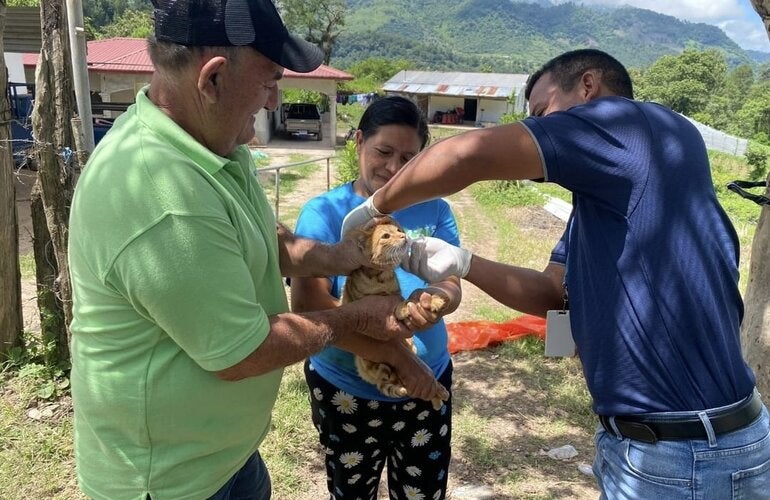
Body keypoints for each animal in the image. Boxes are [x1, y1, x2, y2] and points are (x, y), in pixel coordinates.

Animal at [342, 218, 450, 410]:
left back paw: (439, 394)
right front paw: (404, 308)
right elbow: (400, 304)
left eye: (398, 230)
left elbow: (414, 299)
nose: (404, 236)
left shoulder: (396, 295)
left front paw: (434, 300)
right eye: (386, 236)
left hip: (409, 351)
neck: (381, 276)